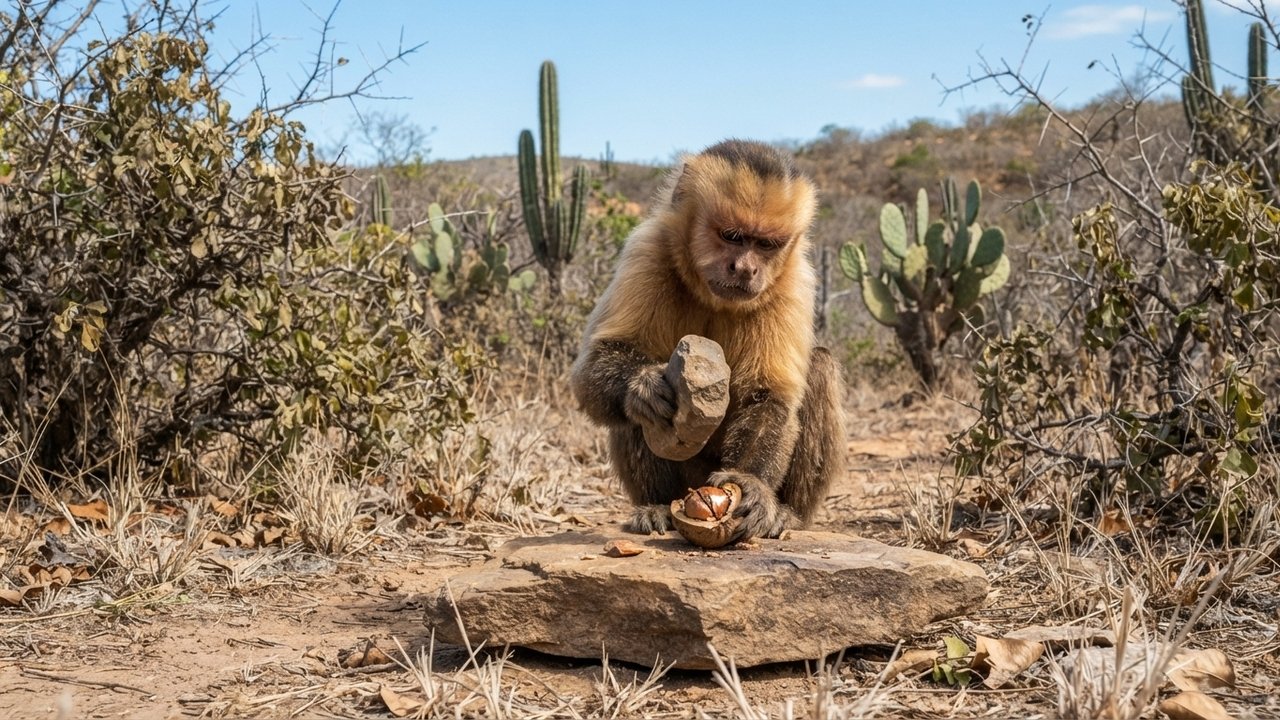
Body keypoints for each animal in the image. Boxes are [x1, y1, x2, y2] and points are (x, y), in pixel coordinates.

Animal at [570, 139, 846, 540]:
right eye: (732, 237)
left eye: (767, 244)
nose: (746, 269)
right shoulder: (647, 249)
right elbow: (594, 367)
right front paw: (645, 388)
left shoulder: (795, 280)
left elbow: (769, 395)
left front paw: (749, 485)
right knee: (631, 411)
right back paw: (656, 505)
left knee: (821, 366)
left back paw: (788, 514)